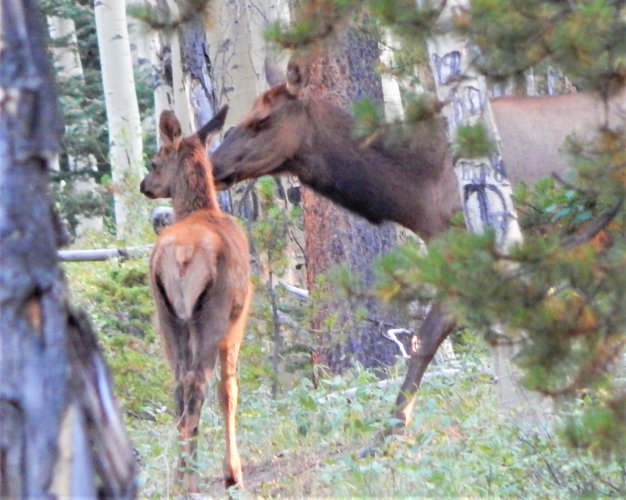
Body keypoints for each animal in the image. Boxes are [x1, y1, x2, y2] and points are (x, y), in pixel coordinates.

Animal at [140, 106, 251, 492]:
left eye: (153, 161)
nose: (144, 185)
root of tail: (184, 254)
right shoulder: (237, 321)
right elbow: (229, 391)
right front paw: (233, 472)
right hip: (212, 313)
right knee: (200, 386)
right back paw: (194, 479)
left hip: (166, 315)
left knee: (179, 387)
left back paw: (181, 478)